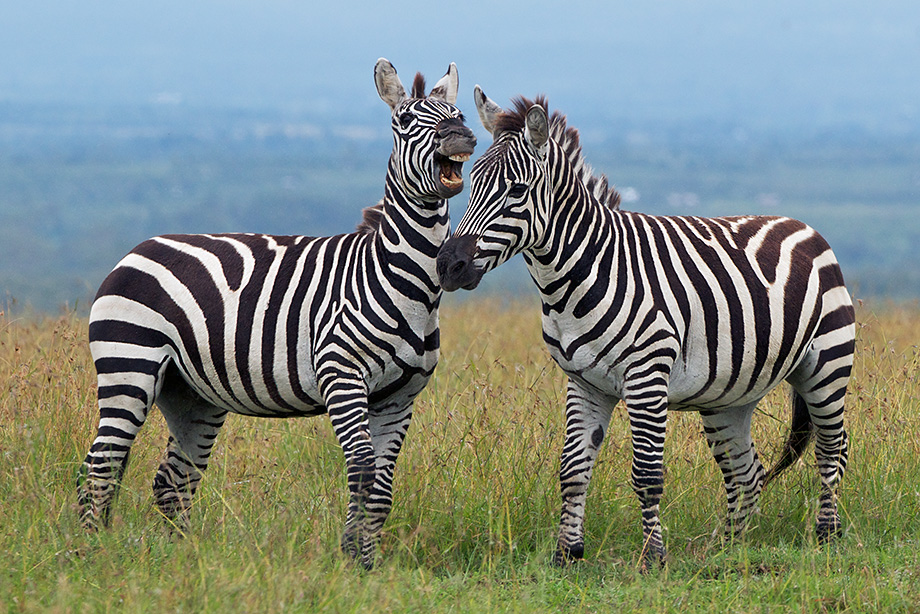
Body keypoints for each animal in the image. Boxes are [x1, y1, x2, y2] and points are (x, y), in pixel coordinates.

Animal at [76, 60, 478, 572]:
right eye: (406, 121)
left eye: (459, 114)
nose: (461, 136)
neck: (398, 278)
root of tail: (138, 248)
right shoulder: (341, 375)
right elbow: (362, 471)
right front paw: (352, 562)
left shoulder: (399, 396)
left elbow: (382, 489)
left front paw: (366, 562)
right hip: (129, 364)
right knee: (102, 463)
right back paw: (89, 553)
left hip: (191, 395)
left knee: (173, 481)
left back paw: (182, 561)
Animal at [438, 89, 856, 572]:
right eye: (470, 181)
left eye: (517, 191)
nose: (449, 266)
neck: (580, 276)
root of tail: (802, 225)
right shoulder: (584, 382)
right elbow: (572, 470)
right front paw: (567, 554)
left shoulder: (647, 377)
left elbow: (647, 475)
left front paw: (653, 557)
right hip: (730, 396)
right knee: (746, 471)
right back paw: (728, 545)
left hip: (827, 363)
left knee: (832, 449)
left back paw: (826, 534)